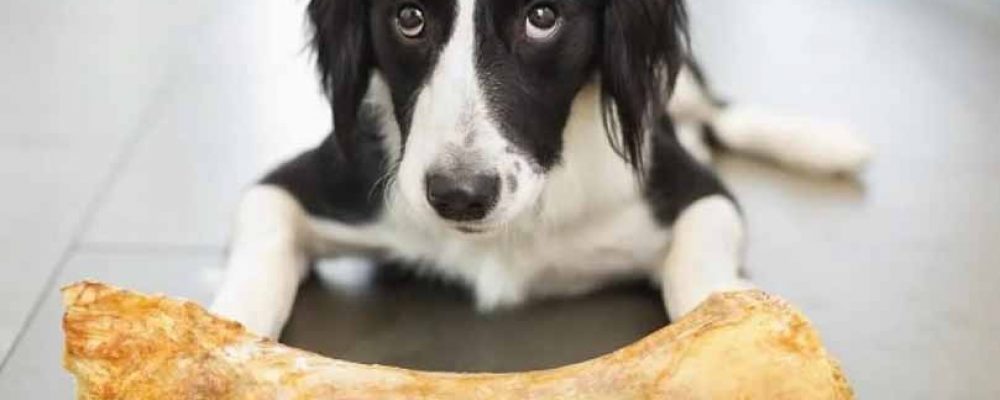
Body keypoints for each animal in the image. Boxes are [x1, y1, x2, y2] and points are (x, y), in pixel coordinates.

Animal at [211, 0, 872, 339]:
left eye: (542, 17)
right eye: (409, 17)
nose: (460, 195)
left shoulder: (696, 193)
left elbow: (698, 269)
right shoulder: (301, 184)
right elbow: (258, 262)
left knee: (718, 112)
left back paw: (825, 144)